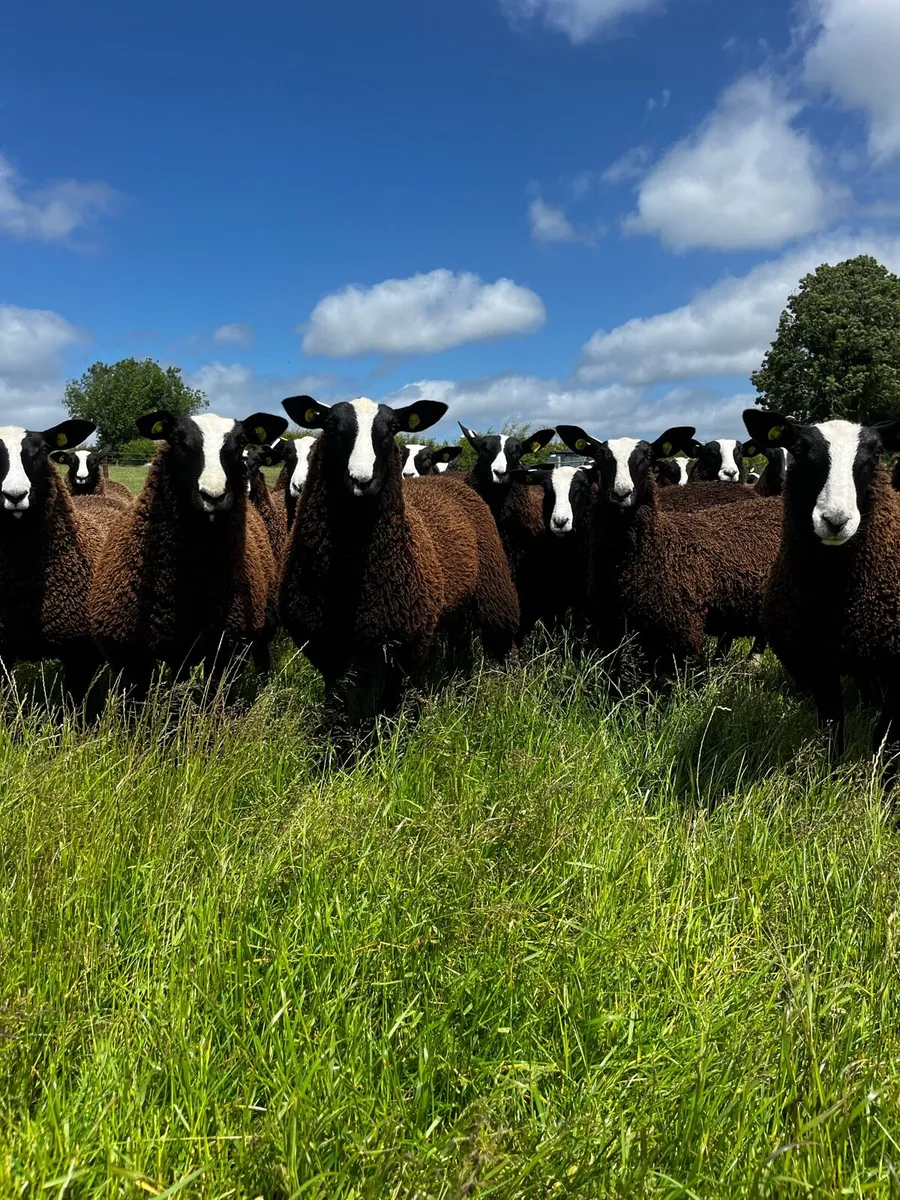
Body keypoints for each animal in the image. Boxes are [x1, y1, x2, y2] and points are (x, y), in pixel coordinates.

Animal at [89, 409, 288, 696]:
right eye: (176, 439)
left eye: (240, 442)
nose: (213, 496)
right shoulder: (129, 657)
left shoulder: (227, 650)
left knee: (261, 655)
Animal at [278, 395, 520, 717]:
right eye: (329, 424)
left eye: (393, 427)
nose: (361, 480)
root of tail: (450, 481)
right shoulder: (325, 647)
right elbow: (337, 704)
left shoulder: (408, 644)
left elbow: (393, 705)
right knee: (461, 643)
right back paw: (461, 683)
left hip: (495, 590)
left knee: (503, 643)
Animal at [556, 423, 783, 672]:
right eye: (599, 455)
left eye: (648, 456)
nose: (621, 493)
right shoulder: (612, 626)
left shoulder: (683, 633)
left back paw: (751, 661)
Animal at [743, 408, 900, 762]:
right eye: (800, 450)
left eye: (876, 452)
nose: (836, 521)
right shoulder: (818, 660)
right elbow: (832, 731)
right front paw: (831, 773)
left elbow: (883, 739)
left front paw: (880, 776)